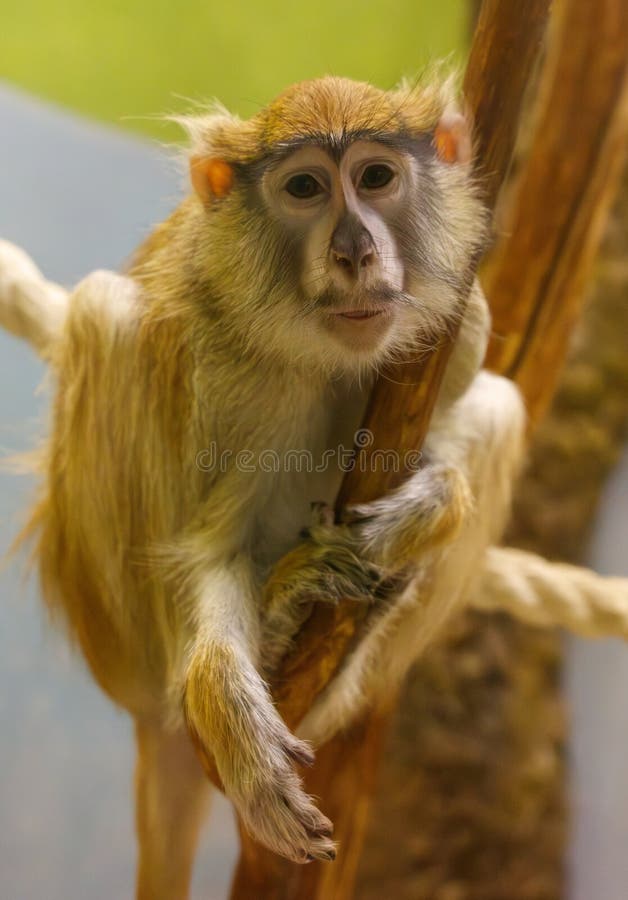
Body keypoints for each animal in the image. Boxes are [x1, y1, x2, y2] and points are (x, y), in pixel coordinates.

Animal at [0, 74, 525, 897]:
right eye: (305, 188)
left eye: (377, 177)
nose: (354, 251)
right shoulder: (225, 370)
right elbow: (212, 549)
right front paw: (227, 700)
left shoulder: (459, 325)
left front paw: (423, 512)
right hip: (124, 647)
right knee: (101, 315)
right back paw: (269, 634)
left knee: (503, 411)